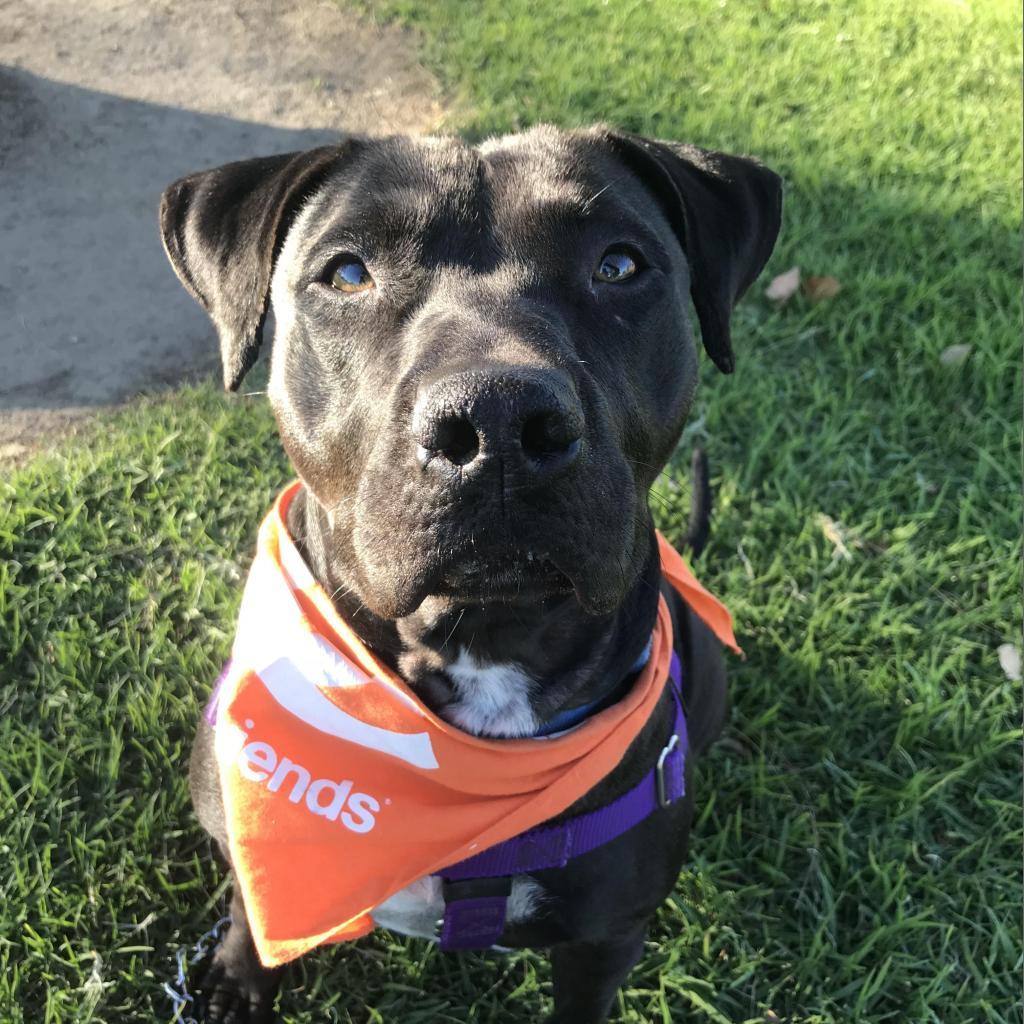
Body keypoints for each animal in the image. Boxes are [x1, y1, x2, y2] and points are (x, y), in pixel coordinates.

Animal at [159, 128, 778, 1024]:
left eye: (619, 264)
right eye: (347, 273)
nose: (498, 422)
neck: (482, 642)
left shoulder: (605, 940)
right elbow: (251, 906)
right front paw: (239, 979)